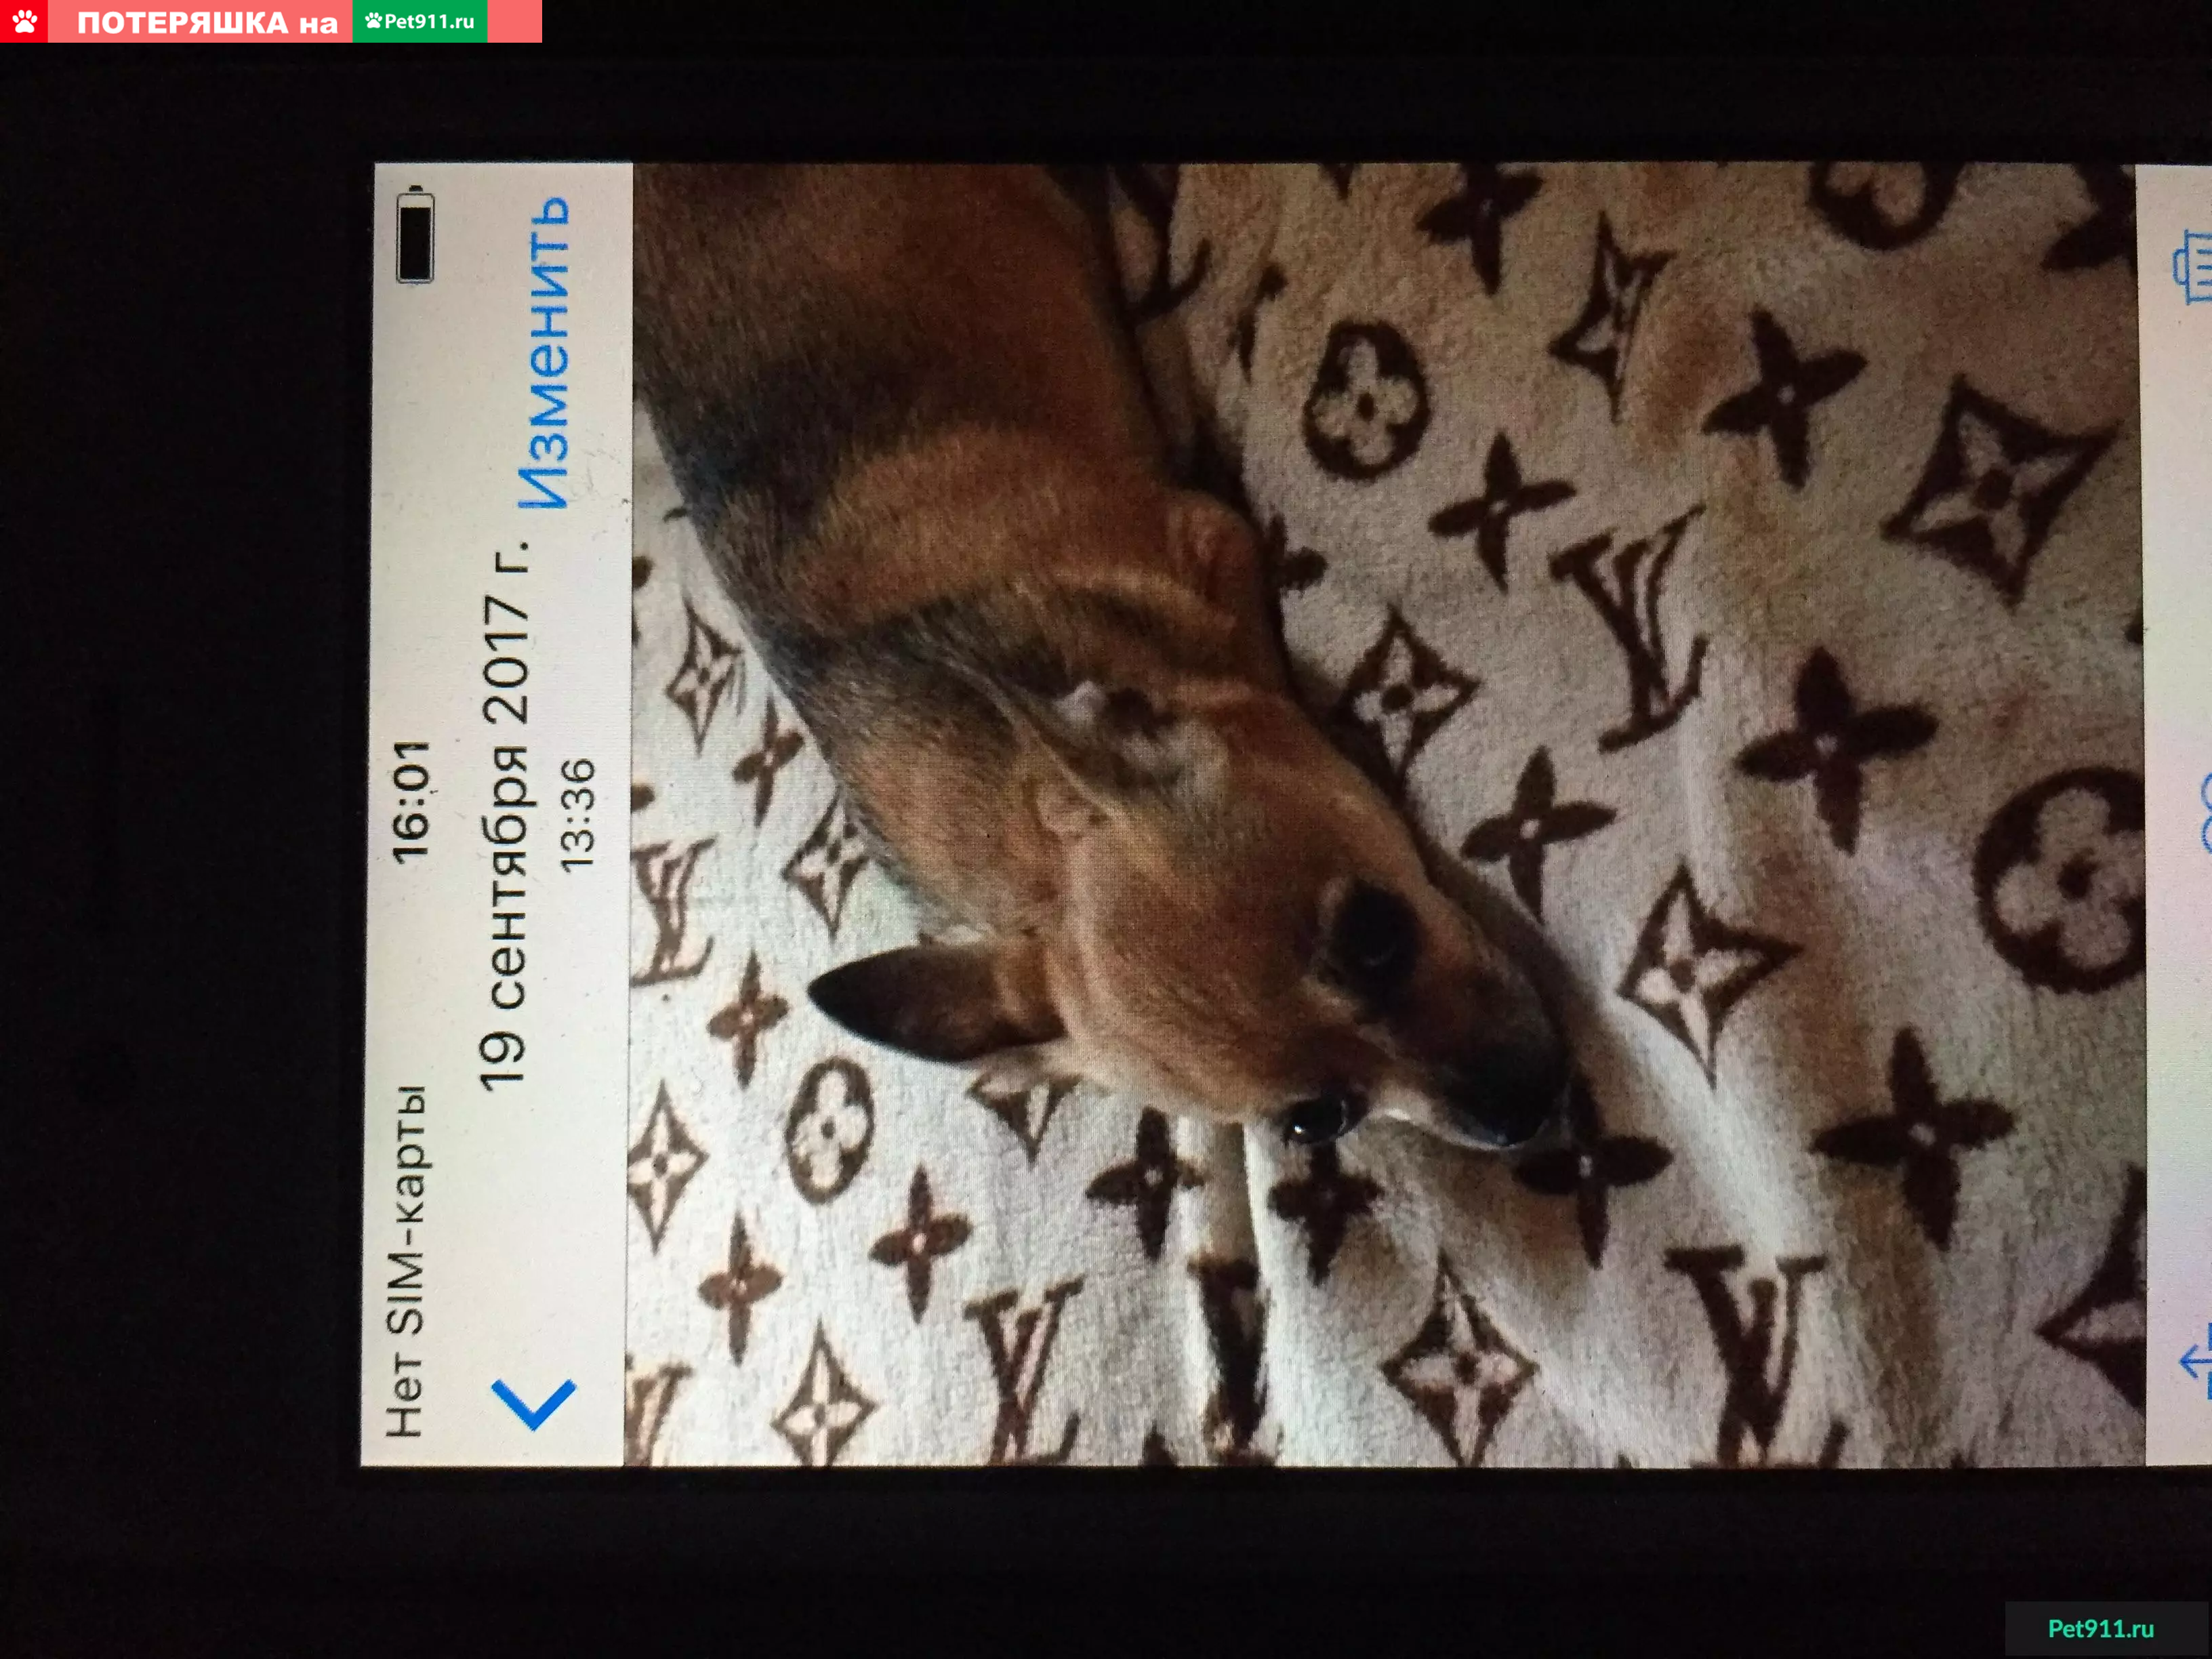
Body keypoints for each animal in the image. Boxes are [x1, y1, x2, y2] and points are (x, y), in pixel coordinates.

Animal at [633, 164, 1568, 1152]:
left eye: (1373, 934)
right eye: (1318, 1122)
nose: (1522, 1112)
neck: (1026, 831)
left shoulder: (1215, 541)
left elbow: (1259, 677)